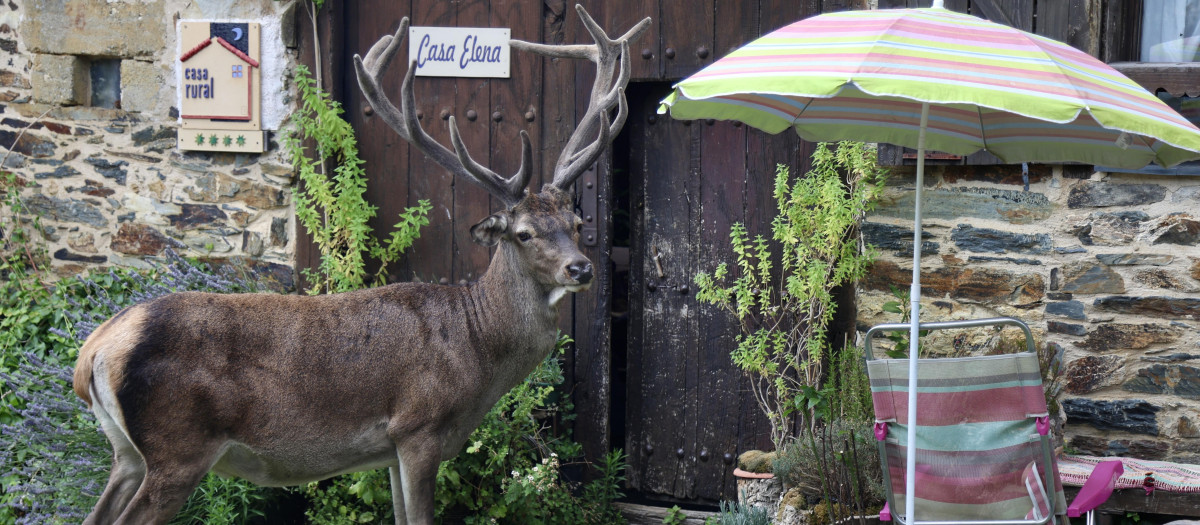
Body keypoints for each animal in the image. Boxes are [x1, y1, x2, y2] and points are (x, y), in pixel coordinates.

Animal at [72, 6, 650, 524]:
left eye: (576, 222)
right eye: (524, 233)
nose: (581, 269)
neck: (475, 349)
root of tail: (94, 350)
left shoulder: (389, 449)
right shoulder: (418, 426)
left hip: (126, 453)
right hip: (178, 446)